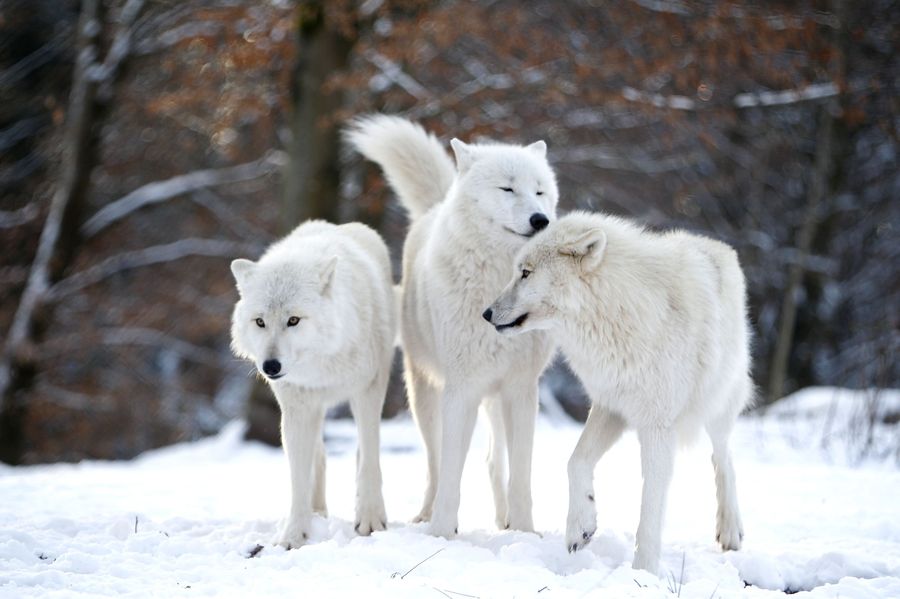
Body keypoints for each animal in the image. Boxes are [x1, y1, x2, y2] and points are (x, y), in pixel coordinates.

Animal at [229, 220, 394, 548]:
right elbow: (298, 480)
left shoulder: (367, 391)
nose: (270, 366)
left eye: (293, 320)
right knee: (320, 456)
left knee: (360, 453)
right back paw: (317, 513)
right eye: (260, 322)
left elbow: (369, 460)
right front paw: (294, 535)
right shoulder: (297, 409)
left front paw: (370, 520)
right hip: (312, 411)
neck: (322, 365)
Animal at [348, 115, 560, 536]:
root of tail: (436, 205)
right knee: (434, 462)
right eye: (508, 188)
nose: (540, 220)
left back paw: (505, 522)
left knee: (494, 462)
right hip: (426, 395)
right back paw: (426, 516)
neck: (497, 285)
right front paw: (442, 534)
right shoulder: (461, 389)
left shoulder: (521, 390)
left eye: (540, 192)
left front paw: (526, 533)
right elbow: (450, 473)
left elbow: (521, 476)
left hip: (494, 399)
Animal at [486, 211, 752, 572]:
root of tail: (718, 246)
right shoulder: (610, 406)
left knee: (723, 457)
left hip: (717, 404)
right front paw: (580, 527)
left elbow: (650, 506)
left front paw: (644, 571)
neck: (615, 311)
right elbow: (575, 462)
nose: (486, 313)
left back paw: (730, 529)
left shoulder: (657, 426)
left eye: (525, 273)